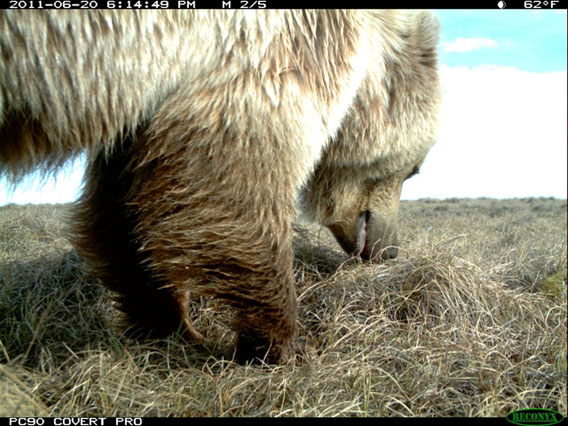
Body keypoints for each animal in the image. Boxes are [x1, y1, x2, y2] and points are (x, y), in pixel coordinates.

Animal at [0, 10, 442, 362]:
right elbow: (233, 179)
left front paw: (169, 323)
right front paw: (284, 342)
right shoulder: (269, 49)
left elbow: (124, 205)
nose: (390, 250)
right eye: (414, 169)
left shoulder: (149, 107)